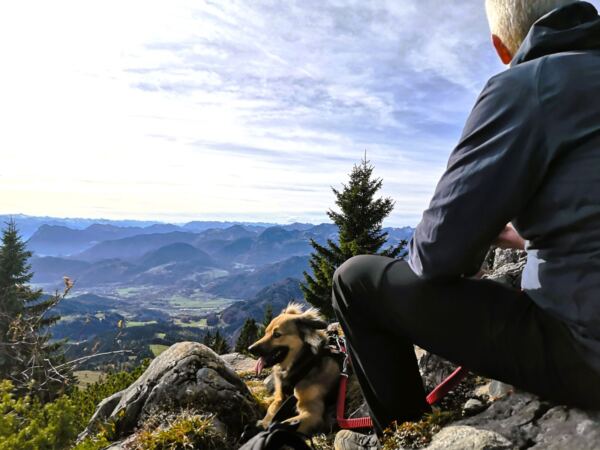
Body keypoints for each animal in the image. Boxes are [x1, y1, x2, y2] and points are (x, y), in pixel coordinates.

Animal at [248, 303, 341, 435]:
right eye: (266, 332)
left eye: (277, 334)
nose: (250, 349)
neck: (301, 365)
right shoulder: (280, 398)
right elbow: (271, 412)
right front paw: (262, 423)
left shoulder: (311, 414)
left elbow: (281, 424)